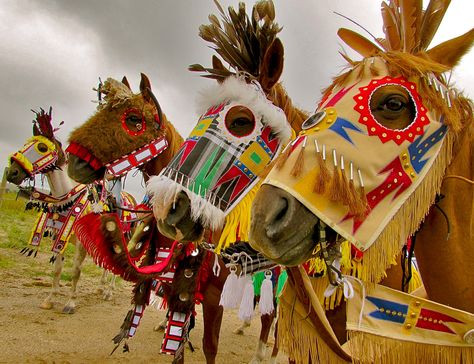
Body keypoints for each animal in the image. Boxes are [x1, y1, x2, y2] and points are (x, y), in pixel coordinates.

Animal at [4, 107, 133, 312]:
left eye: (42, 148)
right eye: (26, 143)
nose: (11, 172)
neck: (68, 197)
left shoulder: (81, 244)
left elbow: (76, 271)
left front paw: (70, 302)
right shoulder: (58, 235)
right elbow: (57, 269)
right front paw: (50, 298)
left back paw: (109, 291)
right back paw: (100, 288)